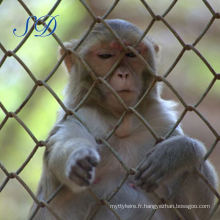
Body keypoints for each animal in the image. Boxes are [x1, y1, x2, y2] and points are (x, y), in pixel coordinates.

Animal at [29, 19, 218, 220]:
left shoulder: (159, 120)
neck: (121, 121)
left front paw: (178, 153)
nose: (123, 74)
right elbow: (65, 145)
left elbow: (198, 210)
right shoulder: (79, 115)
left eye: (131, 54)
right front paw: (78, 159)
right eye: (105, 56)